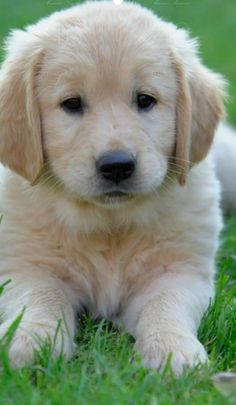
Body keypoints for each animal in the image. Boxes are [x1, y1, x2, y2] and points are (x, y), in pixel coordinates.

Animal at [0, 0, 226, 372]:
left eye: (145, 100)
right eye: (72, 104)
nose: (117, 165)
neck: (109, 223)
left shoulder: (180, 271)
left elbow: (165, 304)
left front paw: (172, 350)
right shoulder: (23, 266)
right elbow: (41, 298)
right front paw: (31, 341)